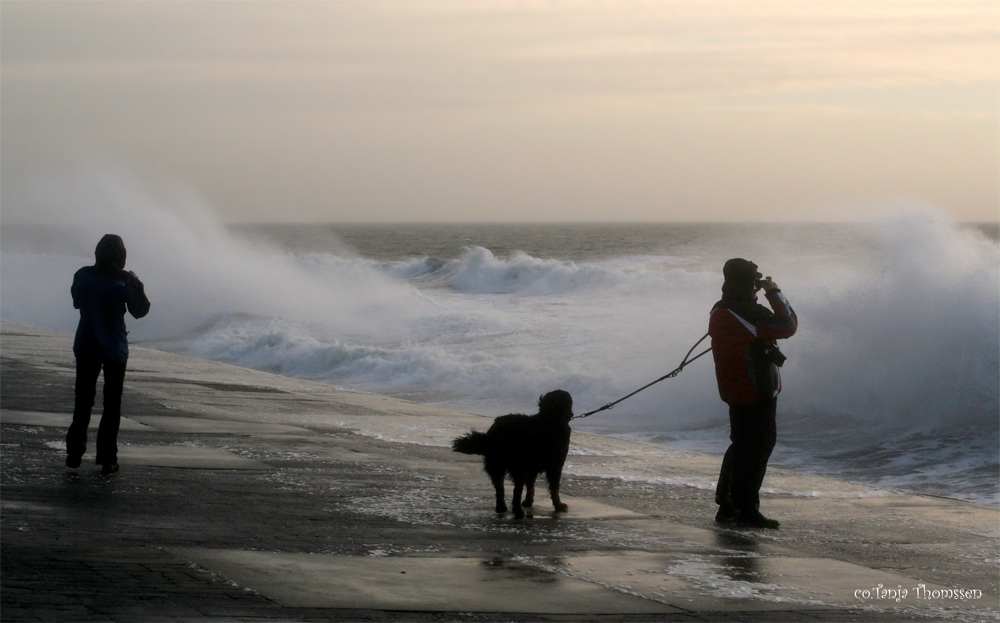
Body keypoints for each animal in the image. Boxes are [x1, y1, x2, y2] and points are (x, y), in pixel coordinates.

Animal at [452, 392, 572, 520]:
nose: (571, 414)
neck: (550, 418)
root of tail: (495, 433)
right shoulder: (555, 465)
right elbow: (554, 488)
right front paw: (559, 505)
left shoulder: (533, 466)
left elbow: (531, 485)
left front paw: (528, 501)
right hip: (519, 467)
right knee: (516, 491)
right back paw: (518, 512)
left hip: (498, 465)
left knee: (500, 488)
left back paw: (502, 508)